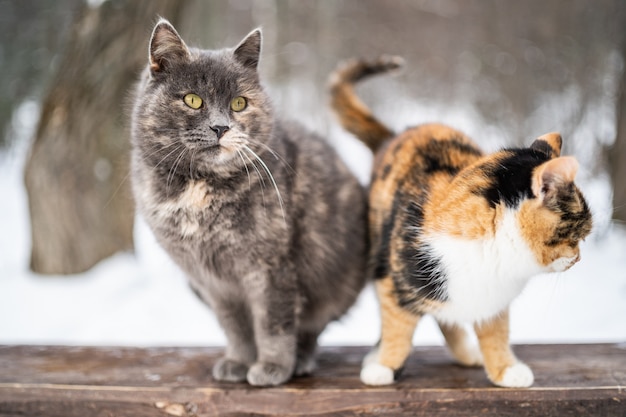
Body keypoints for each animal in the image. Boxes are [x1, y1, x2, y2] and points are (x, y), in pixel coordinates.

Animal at [130, 17, 368, 386]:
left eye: (239, 103)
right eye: (193, 100)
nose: (220, 127)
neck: (201, 188)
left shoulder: (271, 268)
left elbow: (274, 323)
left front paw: (271, 367)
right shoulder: (213, 283)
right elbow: (236, 327)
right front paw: (239, 362)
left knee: (311, 329)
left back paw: (300, 360)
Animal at [330, 56, 592, 386]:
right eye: (577, 236)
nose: (579, 258)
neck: (492, 254)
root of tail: (396, 135)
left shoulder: (494, 300)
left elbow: (495, 333)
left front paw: (505, 369)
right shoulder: (394, 279)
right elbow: (397, 327)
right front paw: (385, 366)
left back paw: (468, 353)